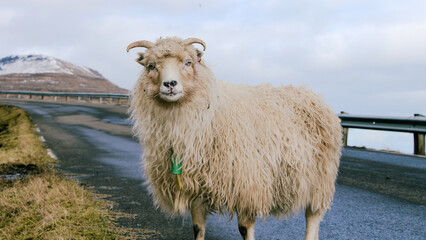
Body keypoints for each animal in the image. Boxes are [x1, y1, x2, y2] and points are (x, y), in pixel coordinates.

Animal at [126, 36, 342, 240]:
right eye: (151, 66)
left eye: (188, 62)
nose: (170, 84)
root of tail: (312, 94)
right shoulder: (196, 188)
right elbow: (198, 229)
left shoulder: (247, 186)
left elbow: (245, 229)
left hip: (320, 180)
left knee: (313, 217)